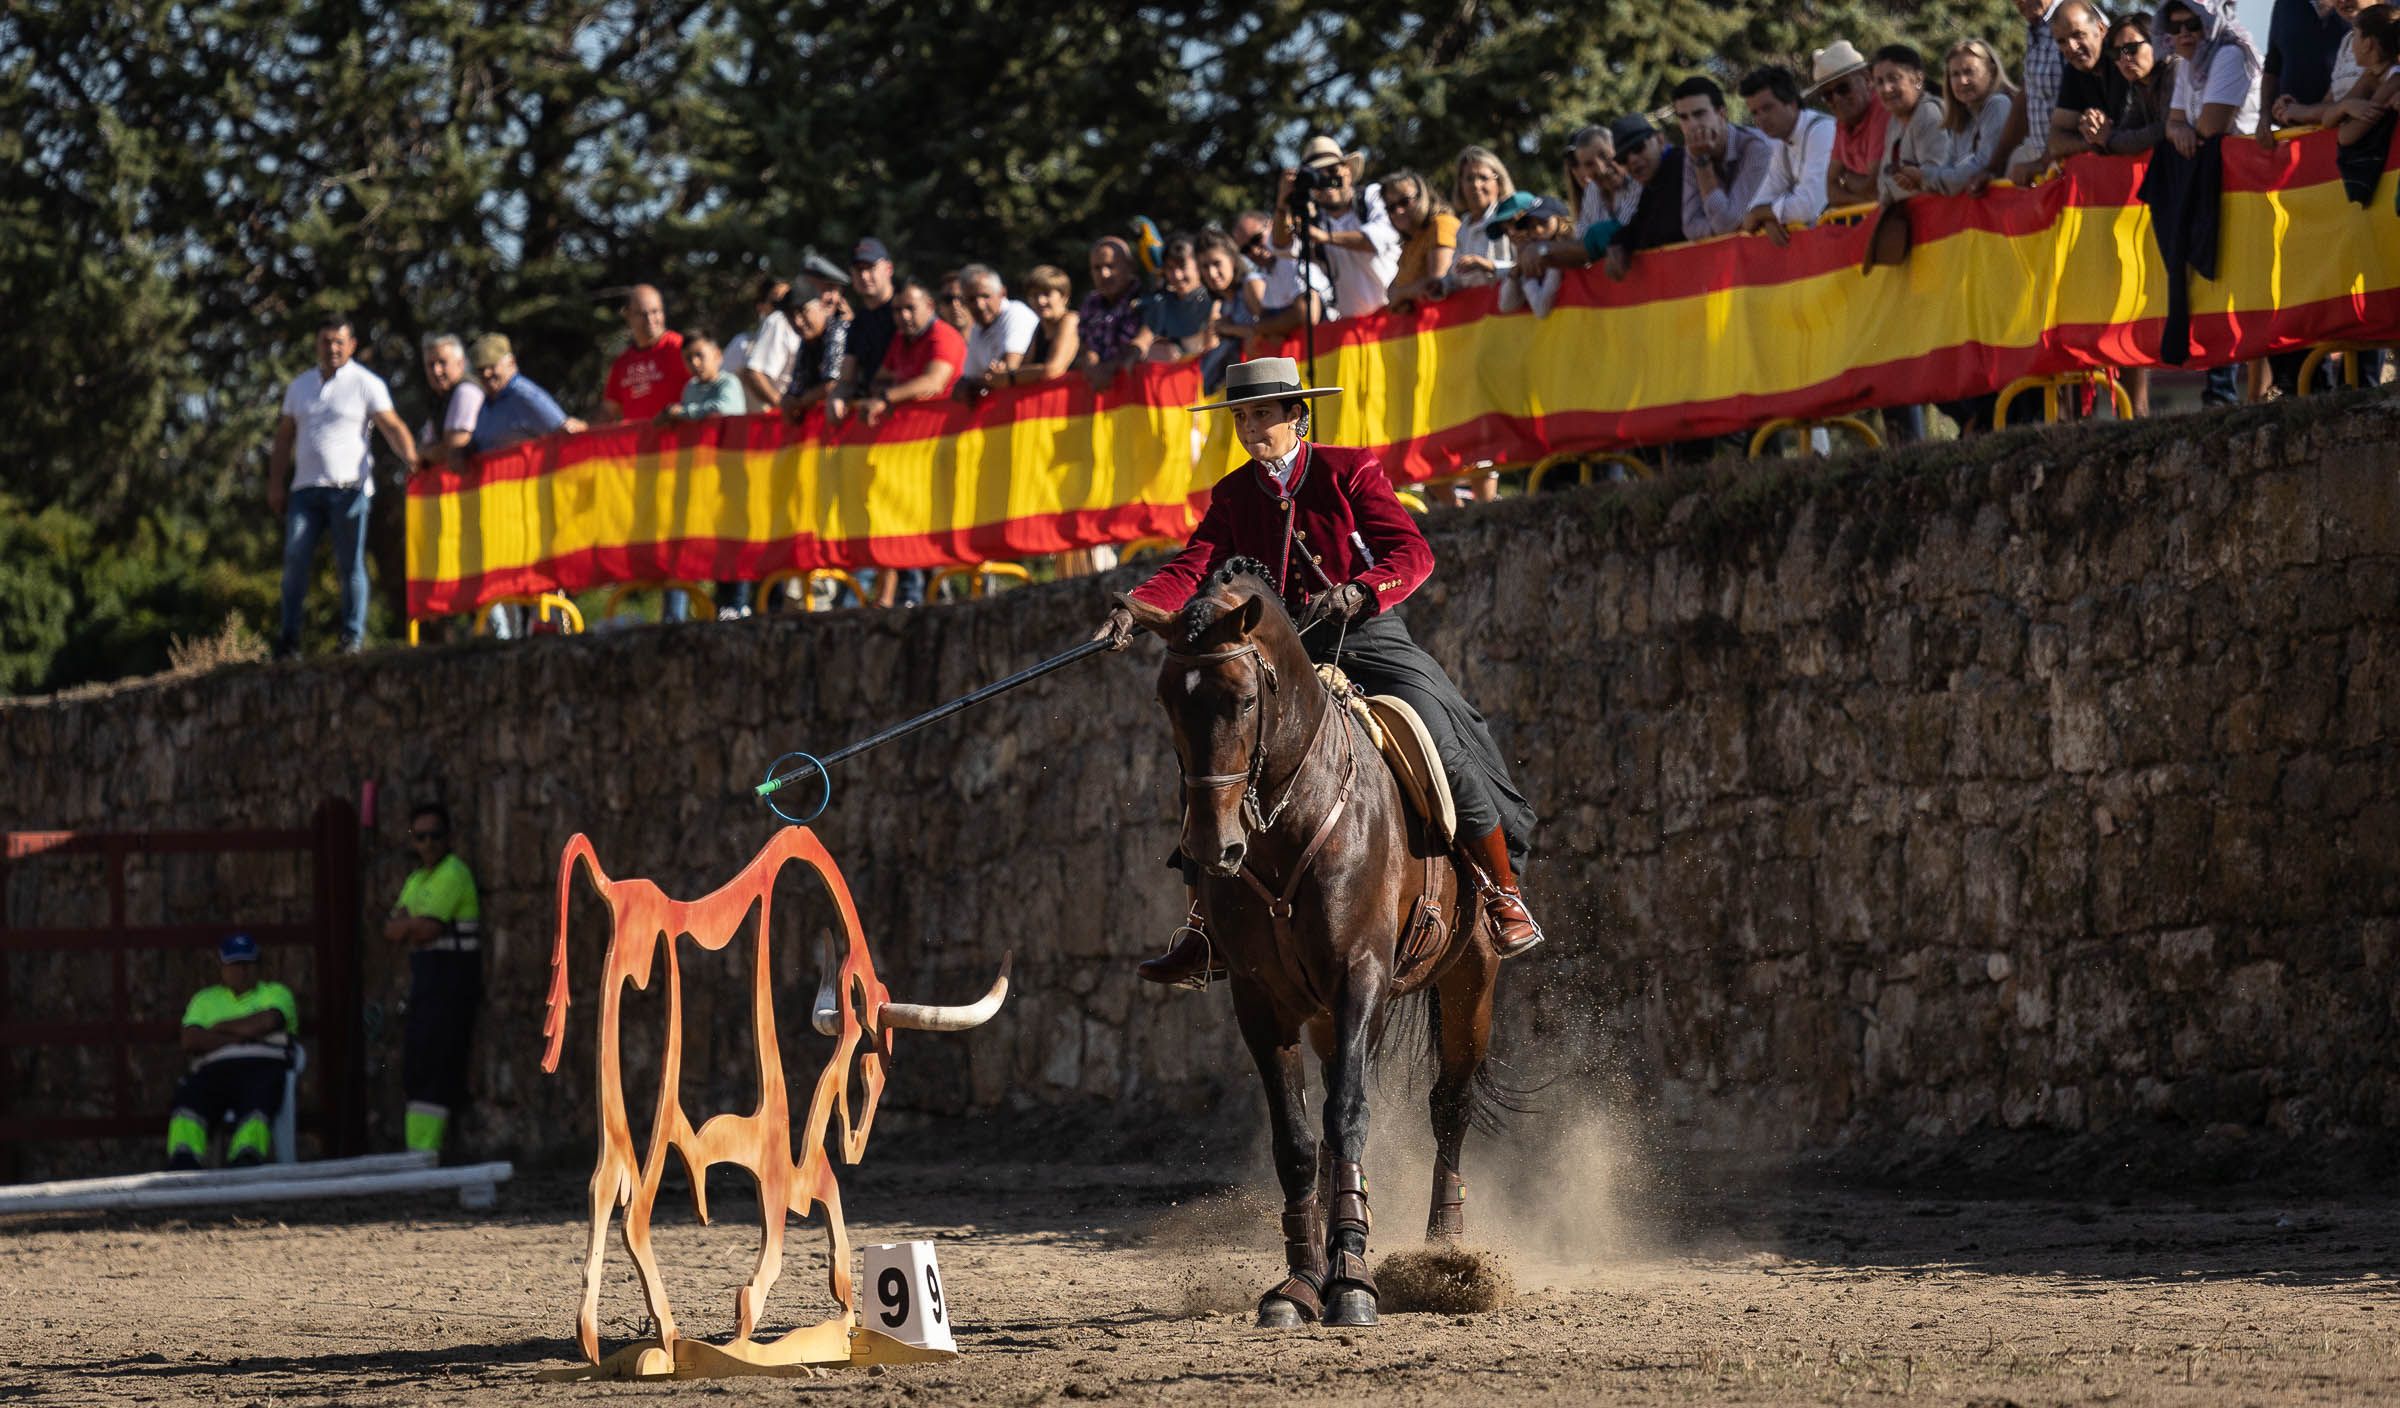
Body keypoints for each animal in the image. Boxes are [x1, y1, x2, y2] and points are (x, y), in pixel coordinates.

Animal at [1118, 556, 1497, 1324]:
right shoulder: (1263, 1001)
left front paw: (1352, 1278)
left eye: (1241, 700)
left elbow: (1348, 1116)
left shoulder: (1360, 978)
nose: (1211, 847)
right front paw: (1300, 1282)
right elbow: (1297, 1140)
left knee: (1450, 1106)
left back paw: (1446, 1250)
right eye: (1168, 700)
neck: (1291, 822)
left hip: (1469, 982)